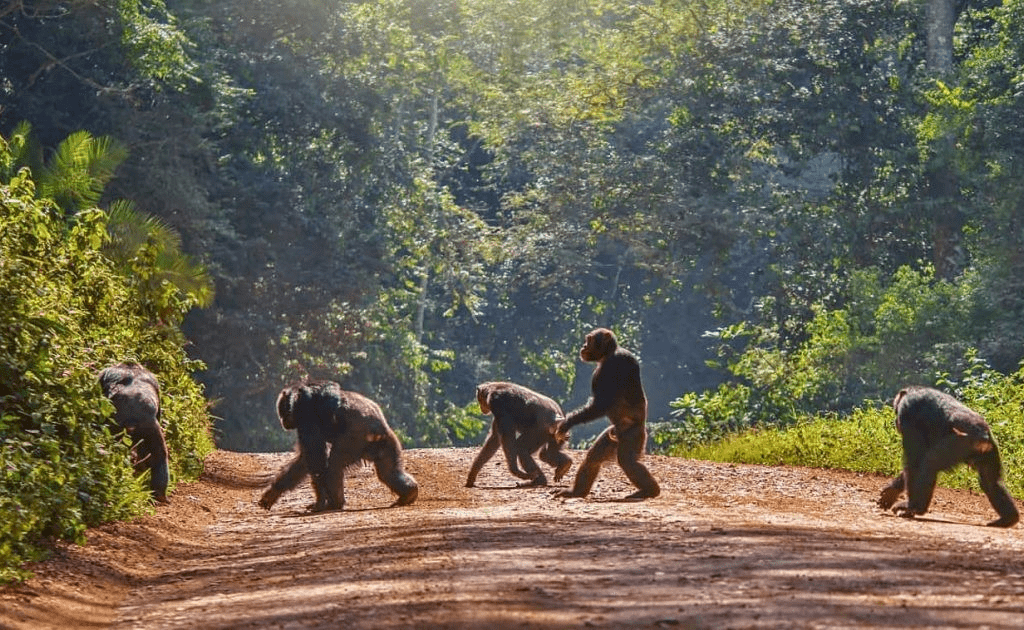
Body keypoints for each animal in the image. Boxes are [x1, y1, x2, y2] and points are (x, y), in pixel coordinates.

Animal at [258, 381, 418, 511]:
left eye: (283, 411)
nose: (283, 421)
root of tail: (378, 429)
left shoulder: (306, 417)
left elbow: (316, 457)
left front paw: (320, 502)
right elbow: (304, 460)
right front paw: (272, 493)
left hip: (354, 440)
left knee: (334, 464)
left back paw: (335, 503)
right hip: (386, 443)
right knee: (388, 472)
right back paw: (409, 493)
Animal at [554, 328, 660, 500]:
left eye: (589, 340)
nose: (583, 346)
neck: (608, 354)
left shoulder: (610, 368)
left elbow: (600, 404)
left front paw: (567, 423)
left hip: (633, 435)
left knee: (628, 461)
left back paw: (650, 491)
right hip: (613, 435)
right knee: (593, 458)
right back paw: (576, 492)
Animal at [878, 386, 1018, 528]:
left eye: (896, 410)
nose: (895, 421)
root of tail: (983, 437)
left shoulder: (907, 412)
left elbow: (915, 460)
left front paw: (902, 501)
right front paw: (891, 491)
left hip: (959, 444)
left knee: (929, 464)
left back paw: (914, 507)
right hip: (989, 452)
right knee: (991, 482)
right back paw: (1007, 519)